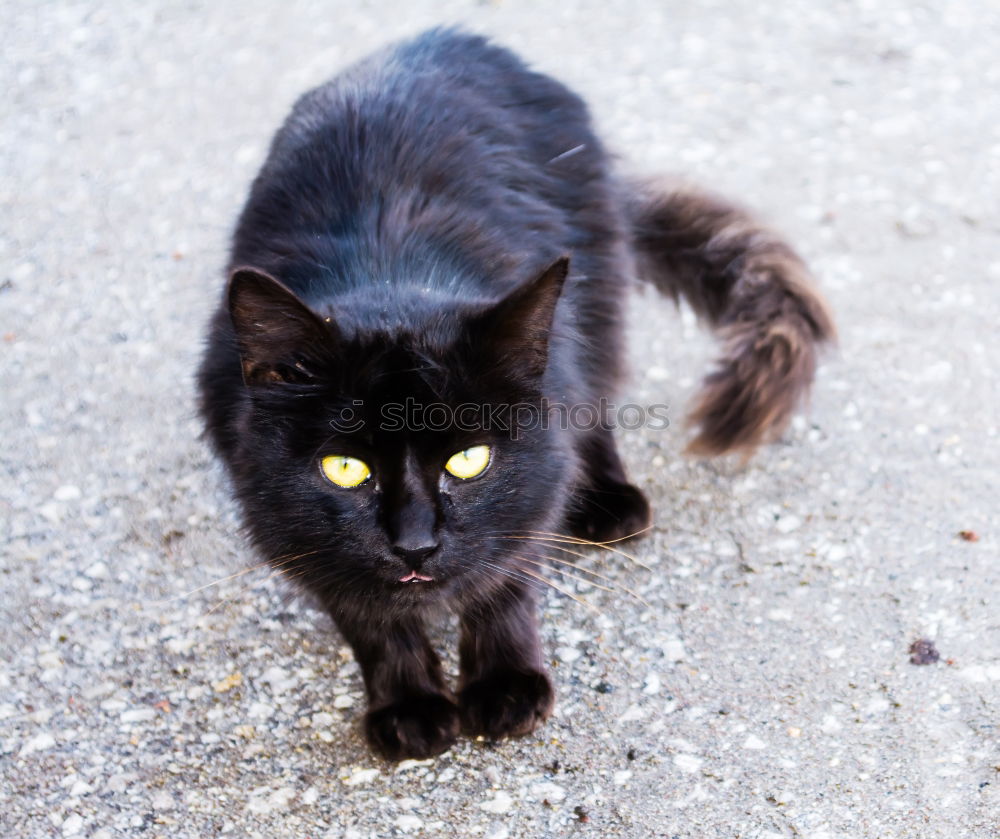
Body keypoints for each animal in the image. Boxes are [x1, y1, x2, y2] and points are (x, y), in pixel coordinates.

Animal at [199, 27, 832, 760]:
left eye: (468, 460)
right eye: (346, 469)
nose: (415, 545)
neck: (388, 273)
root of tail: (444, 38)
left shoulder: (530, 487)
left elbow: (506, 577)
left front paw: (504, 686)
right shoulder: (281, 513)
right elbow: (369, 618)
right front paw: (409, 704)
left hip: (592, 297)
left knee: (595, 397)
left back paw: (609, 501)